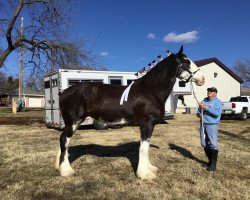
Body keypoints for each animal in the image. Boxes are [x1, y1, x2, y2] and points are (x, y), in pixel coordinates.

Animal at [55, 46, 204, 180]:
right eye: (186, 61)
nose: (202, 79)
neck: (151, 90)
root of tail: (64, 92)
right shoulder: (146, 124)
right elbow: (144, 147)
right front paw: (145, 174)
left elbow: (146, 146)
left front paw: (150, 168)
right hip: (73, 121)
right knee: (64, 140)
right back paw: (66, 171)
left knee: (63, 141)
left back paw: (58, 166)